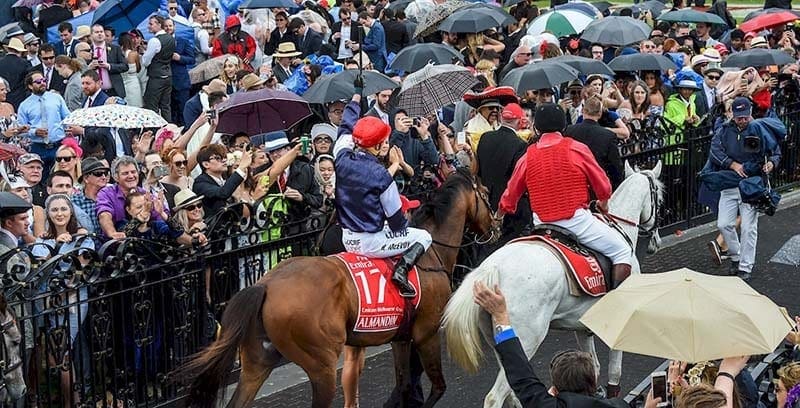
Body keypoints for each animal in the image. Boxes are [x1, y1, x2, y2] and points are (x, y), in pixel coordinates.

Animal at [178, 171, 496, 406]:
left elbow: (404, 386)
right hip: (321, 366)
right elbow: (438, 388)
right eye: (485, 193)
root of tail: (264, 285)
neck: (430, 256)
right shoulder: (426, 333)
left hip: (258, 362)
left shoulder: (401, 338)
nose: (495, 225)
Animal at [444, 161, 664, 406]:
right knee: (495, 396)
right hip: (528, 337)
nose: (655, 242)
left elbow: (593, 366)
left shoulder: (581, 326)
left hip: (503, 341)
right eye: (660, 199)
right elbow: (614, 373)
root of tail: (490, 269)